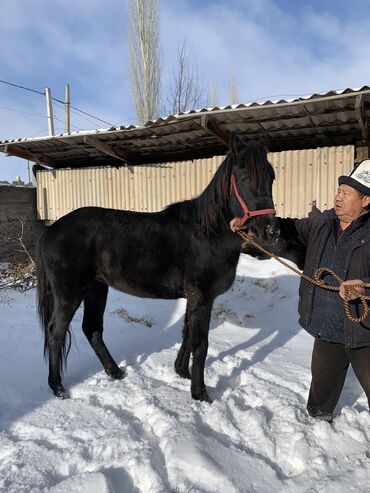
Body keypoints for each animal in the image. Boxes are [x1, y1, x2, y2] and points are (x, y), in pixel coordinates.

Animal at [36, 134, 280, 400]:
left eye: (272, 177)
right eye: (244, 177)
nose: (271, 231)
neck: (207, 234)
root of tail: (50, 230)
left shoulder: (194, 298)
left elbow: (187, 334)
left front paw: (181, 372)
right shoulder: (202, 297)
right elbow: (200, 344)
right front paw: (200, 394)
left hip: (96, 288)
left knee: (92, 329)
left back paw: (115, 372)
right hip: (69, 294)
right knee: (56, 332)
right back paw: (58, 387)